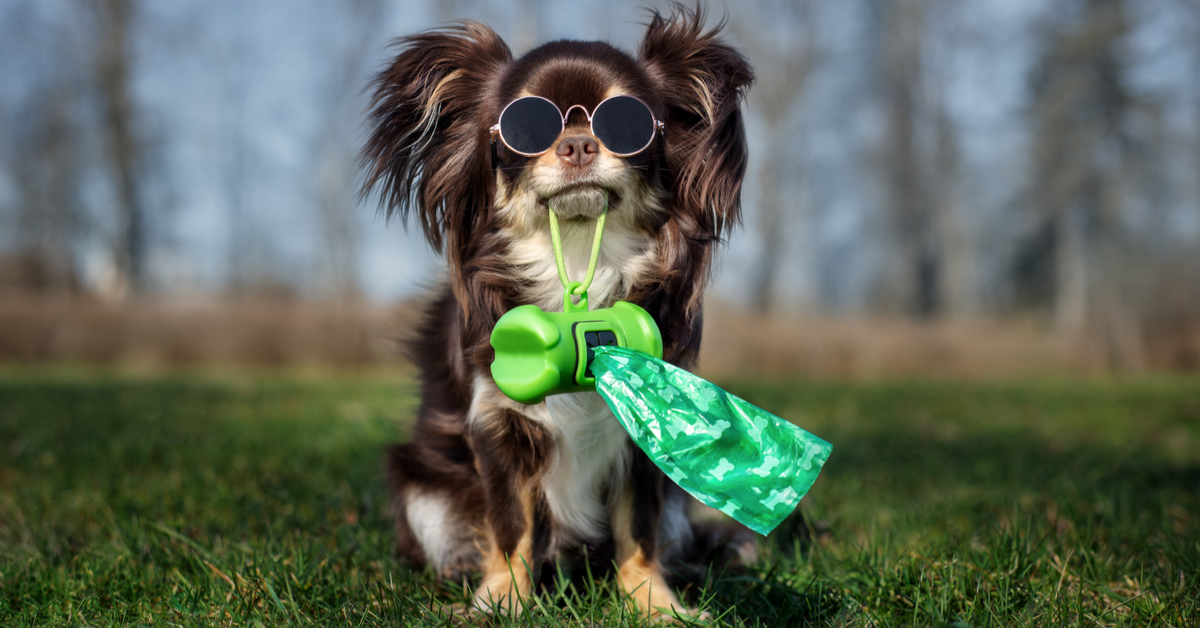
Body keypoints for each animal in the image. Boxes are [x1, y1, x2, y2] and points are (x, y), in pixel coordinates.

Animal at [355, 4, 753, 619]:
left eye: (630, 124)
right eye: (523, 128)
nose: (578, 144)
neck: (578, 260)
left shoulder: (648, 430)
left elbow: (639, 528)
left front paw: (653, 604)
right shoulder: (496, 425)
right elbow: (511, 525)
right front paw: (501, 603)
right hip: (423, 487)